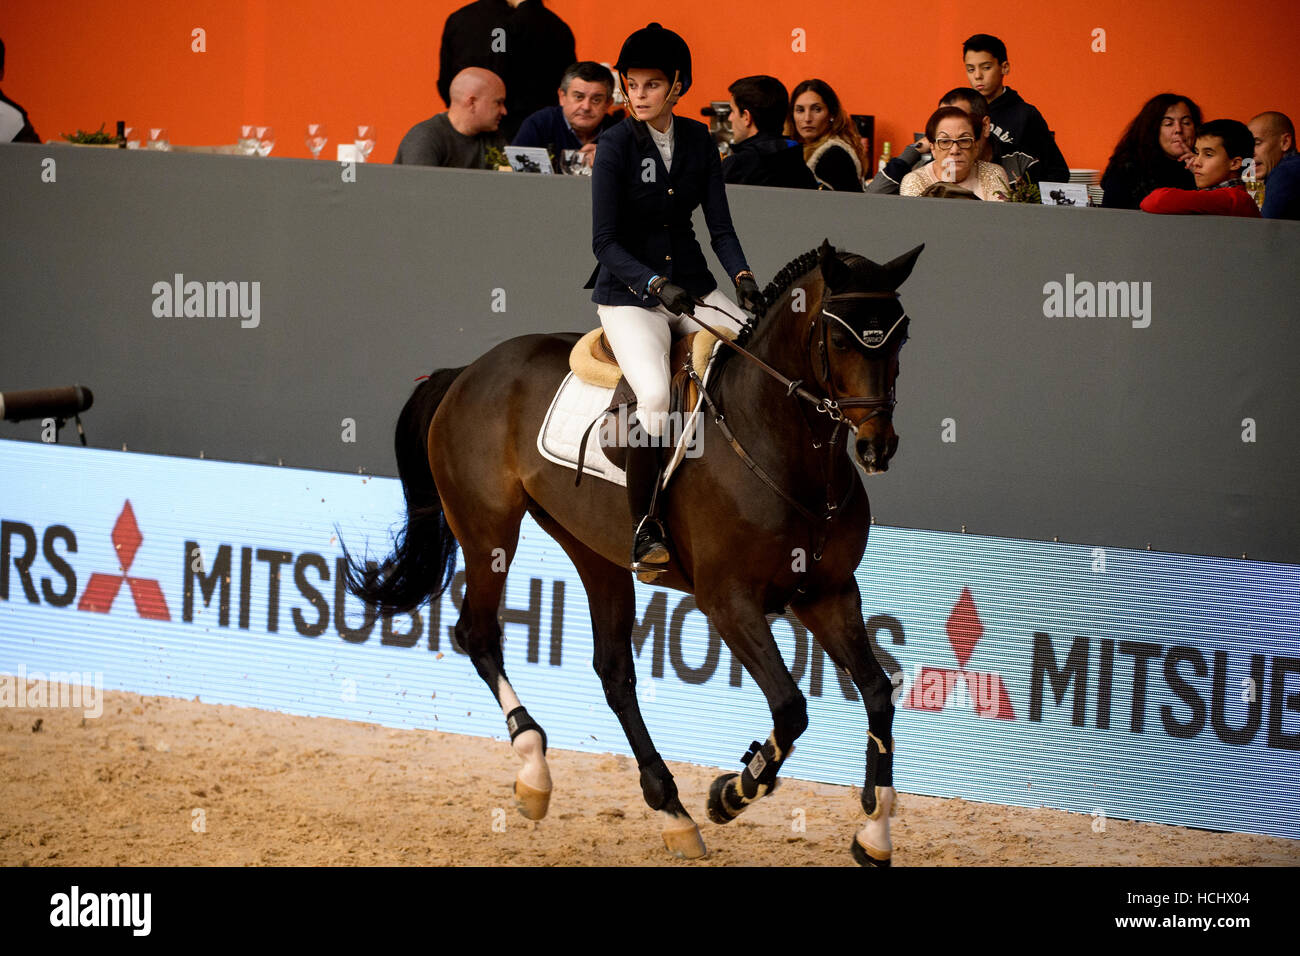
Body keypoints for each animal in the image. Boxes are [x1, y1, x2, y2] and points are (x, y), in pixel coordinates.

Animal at [340, 240, 920, 868]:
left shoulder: (827, 593)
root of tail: (467, 371)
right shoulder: (729, 603)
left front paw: (874, 832)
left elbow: (879, 693)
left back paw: (671, 811)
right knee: (478, 634)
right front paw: (732, 793)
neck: (782, 444)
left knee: (614, 672)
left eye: (901, 337)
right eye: (840, 339)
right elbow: (791, 707)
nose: (878, 447)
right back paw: (534, 770)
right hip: (488, 530)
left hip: (594, 551)